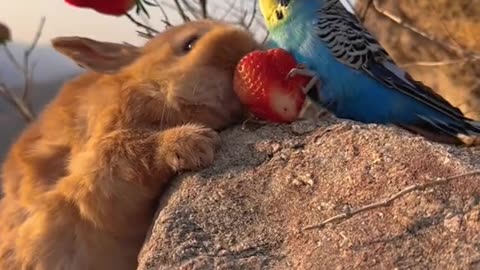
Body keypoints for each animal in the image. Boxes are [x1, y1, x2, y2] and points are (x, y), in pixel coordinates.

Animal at [0, 19, 258, 270]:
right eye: (190, 44)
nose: (248, 52)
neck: (145, 87)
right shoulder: (92, 179)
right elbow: (130, 149)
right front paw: (194, 142)